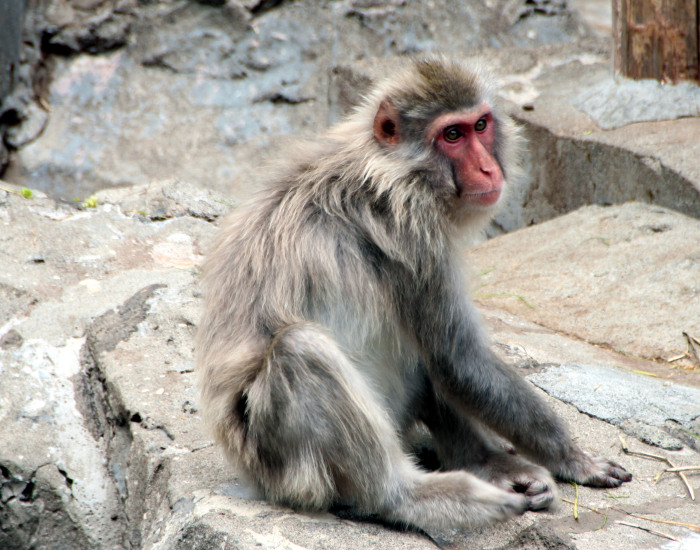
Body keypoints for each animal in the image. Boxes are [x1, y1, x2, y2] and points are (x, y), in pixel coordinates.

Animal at [196, 57, 628, 536]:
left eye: (480, 125)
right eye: (452, 135)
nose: (488, 170)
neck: (391, 167)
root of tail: (245, 467)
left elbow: (446, 361)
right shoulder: (414, 231)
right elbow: (459, 359)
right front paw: (572, 457)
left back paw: (487, 464)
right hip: (279, 459)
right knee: (302, 349)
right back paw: (417, 497)